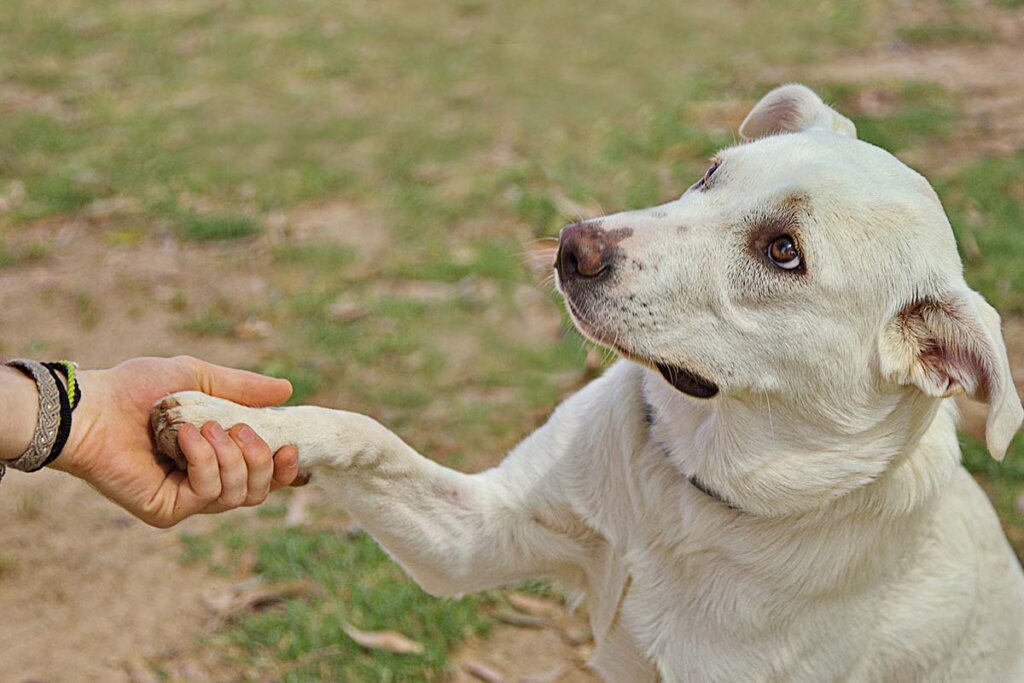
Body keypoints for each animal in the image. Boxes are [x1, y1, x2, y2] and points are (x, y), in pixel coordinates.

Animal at [153, 87, 1024, 683]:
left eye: (783, 251)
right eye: (710, 174)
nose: (574, 245)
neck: (689, 494)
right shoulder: (475, 537)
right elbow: (363, 432)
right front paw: (225, 418)